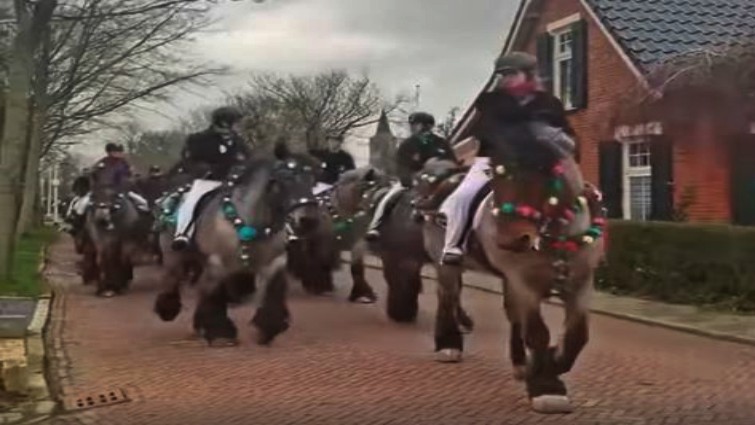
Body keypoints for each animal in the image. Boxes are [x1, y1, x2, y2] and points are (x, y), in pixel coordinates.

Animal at [410, 137, 604, 414]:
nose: (511, 238)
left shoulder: (581, 283)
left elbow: (577, 336)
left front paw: (546, 366)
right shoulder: (524, 282)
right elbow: (537, 333)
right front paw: (546, 386)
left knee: (507, 313)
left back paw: (520, 364)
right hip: (445, 263)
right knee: (447, 297)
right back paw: (448, 346)